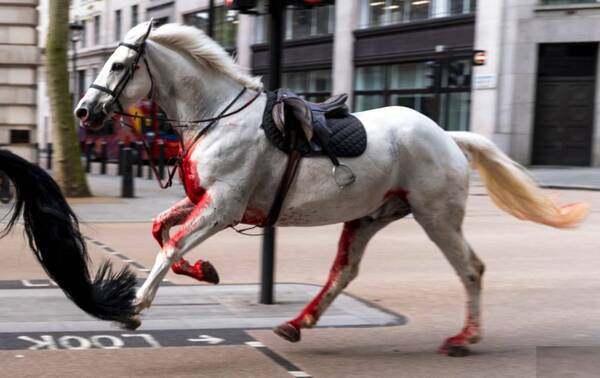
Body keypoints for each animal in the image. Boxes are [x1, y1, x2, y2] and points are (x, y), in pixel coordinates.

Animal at [74, 22, 584, 356]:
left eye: (119, 65)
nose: (83, 111)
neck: (217, 117)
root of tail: (446, 135)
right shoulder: (205, 201)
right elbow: (162, 230)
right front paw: (205, 270)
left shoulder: (223, 206)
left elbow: (171, 245)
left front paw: (134, 306)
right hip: (369, 217)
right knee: (344, 272)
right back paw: (298, 323)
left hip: (436, 216)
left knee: (471, 269)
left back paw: (465, 338)